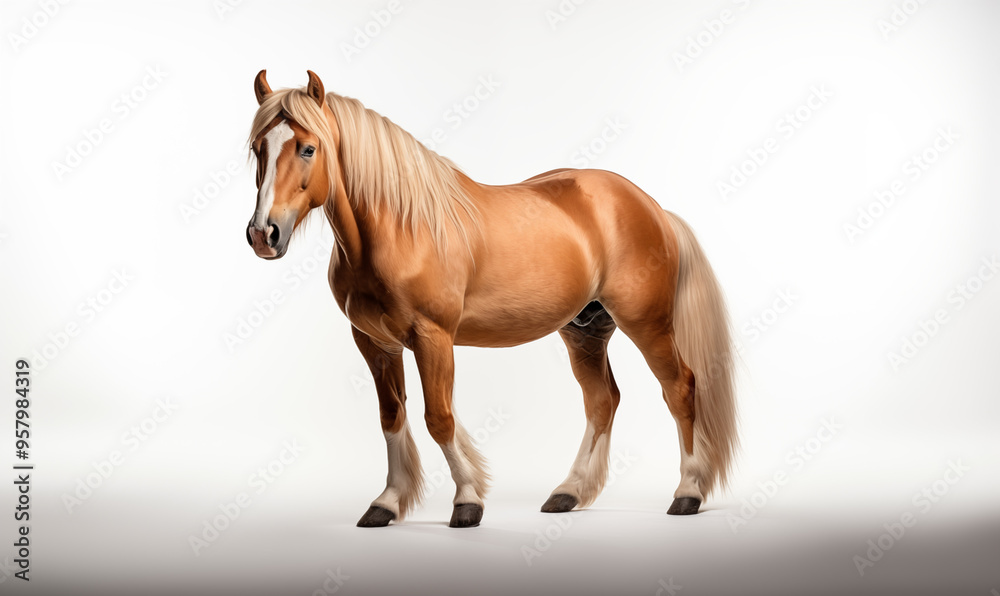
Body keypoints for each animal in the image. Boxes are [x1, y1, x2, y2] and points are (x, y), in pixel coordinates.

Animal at [245, 70, 738, 528]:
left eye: (308, 148)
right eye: (257, 148)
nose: (263, 234)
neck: (401, 227)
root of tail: (652, 207)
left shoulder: (433, 338)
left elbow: (439, 418)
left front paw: (467, 501)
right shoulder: (374, 342)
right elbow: (391, 417)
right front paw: (386, 503)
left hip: (647, 324)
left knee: (680, 387)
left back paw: (687, 492)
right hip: (585, 331)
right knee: (602, 401)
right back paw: (568, 493)